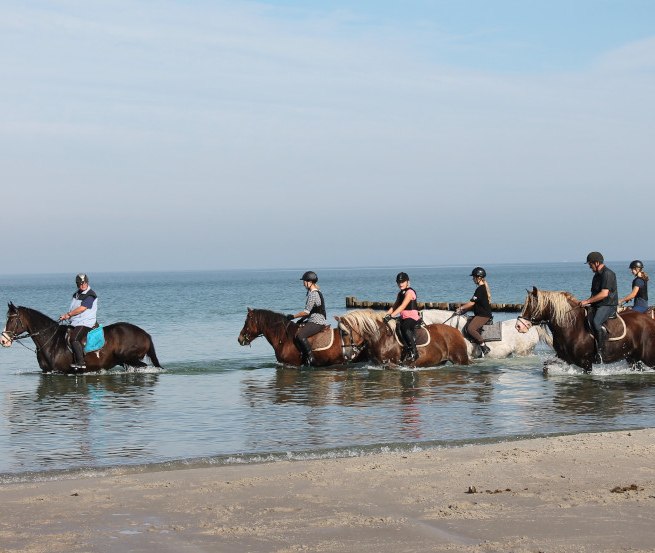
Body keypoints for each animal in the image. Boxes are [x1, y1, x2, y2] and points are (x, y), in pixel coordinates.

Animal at [1, 302, 163, 376]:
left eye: (12, 320)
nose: (3, 340)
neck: (51, 341)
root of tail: (145, 334)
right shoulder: (47, 372)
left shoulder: (60, 373)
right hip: (125, 361)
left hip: (130, 358)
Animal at [516, 288, 655, 370]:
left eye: (532, 305)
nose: (518, 325)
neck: (571, 327)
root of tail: (649, 319)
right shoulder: (564, 359)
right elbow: (546, 367)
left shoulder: (586, 363)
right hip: (632, 358)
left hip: (648, 357)